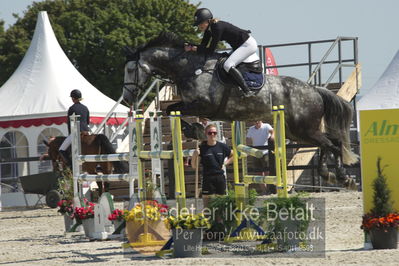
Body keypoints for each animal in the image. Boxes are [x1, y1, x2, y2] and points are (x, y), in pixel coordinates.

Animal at [122, 31, 360, 185]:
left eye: (131, 69)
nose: (126, 98)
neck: (191, 68)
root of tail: (314, 90)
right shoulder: (192, 105)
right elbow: (171, 110)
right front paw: (195, 130)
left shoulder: (204, 105)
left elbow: (172, 110)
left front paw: (196, 130)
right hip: (298, 131)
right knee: (330, 142)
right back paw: (331, 174)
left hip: (304, 129)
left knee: (333, 143)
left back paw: (341, 176)